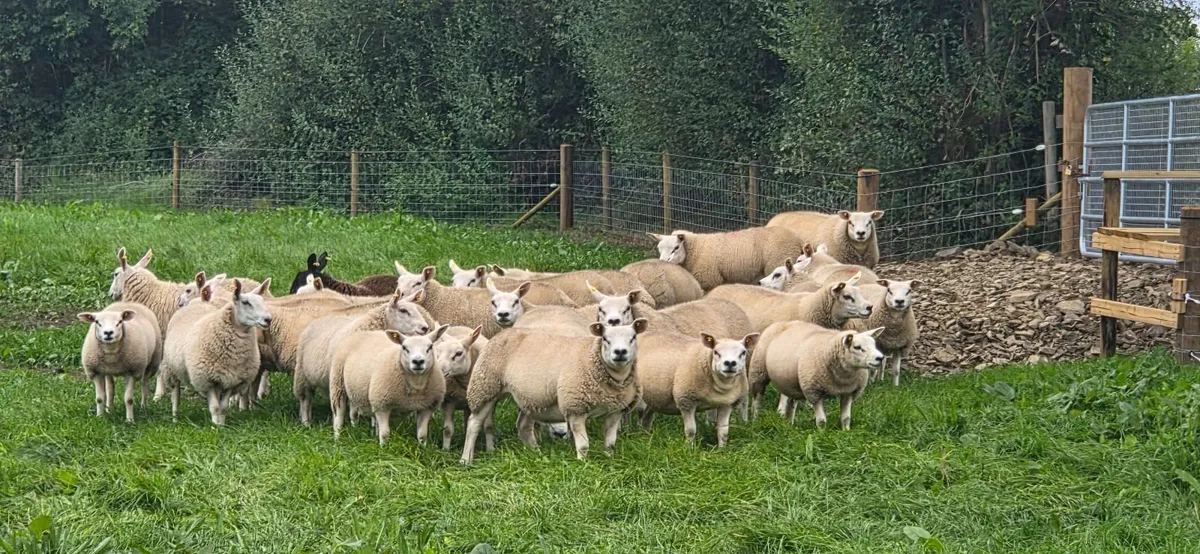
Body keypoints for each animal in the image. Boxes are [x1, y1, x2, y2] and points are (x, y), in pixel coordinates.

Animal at [459, 319, 649, 464]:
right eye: (605, 339)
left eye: (633, 338)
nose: (620, 352)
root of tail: (502, 333)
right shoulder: (575, 407)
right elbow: (583, 445)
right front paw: (583, 464)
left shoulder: (615, 411)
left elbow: (610, 443)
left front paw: (610, 460)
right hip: (485, 387)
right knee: (474, 424)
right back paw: (466, 460)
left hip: (530, 397)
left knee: (523, 426)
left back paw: (536, 454)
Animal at [648, 227, 804, 290]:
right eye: (659, 248)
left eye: (676, 247)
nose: (663, 262)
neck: (696, 250)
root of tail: (798, 240)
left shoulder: (710, 281)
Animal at [755, 321, 885, 429]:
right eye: (857, 347)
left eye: (874, 344)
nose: (880, 358)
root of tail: (784, 322)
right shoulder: (814, 392)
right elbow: (821, 420)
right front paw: (821, 434)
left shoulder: (848, 392)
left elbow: (846, 418)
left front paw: (846, 432)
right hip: (758, 371)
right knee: (757, 398)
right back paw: (755, 420)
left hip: (790, 382)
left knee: (791, 402)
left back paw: (789, 425)